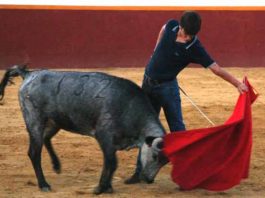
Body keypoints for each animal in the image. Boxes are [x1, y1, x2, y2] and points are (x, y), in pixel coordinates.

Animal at [0, 65, 167, 195]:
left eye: (164, 162)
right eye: (154, 156)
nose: (149, 180)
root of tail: (29, 74)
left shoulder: (112, 144)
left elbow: (110, 163)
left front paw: (107, 187)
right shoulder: (105, 137)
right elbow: (112, 163)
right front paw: (101, 188)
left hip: (56, 121)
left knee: (46, 138)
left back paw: (56, 166)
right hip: (34, 121)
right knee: (34, 153)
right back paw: (44, 185)